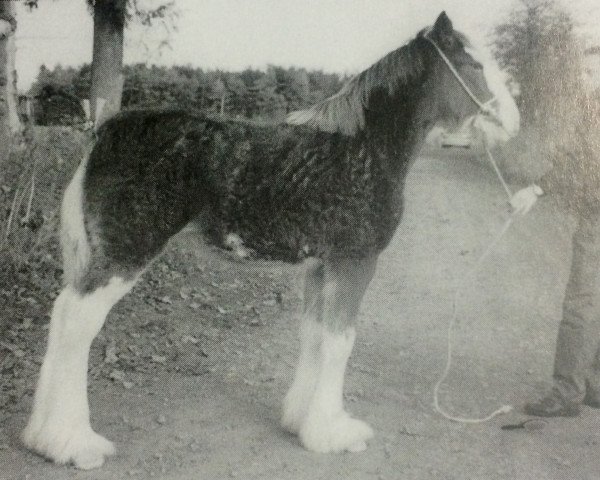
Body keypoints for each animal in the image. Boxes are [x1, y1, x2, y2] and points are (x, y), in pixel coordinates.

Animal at [21, 10, 520, 468]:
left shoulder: (321, 266)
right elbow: (340, 341)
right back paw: (73, 443)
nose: (514, 122)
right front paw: (334, 433)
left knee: (60, 316)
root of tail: (103, 131)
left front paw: (301, 421)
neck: (365, 148)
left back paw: (41, 437)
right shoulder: (354, 262)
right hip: (124, 254)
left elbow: (315, 334)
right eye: (473, 63)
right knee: (76, 322)